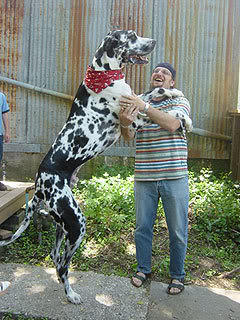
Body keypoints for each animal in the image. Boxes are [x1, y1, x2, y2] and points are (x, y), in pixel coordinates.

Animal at [0, 30, 188, 304]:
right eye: (132, 36)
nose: (153, 42)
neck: (105, 73)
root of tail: (38, 184)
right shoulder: (135, 119)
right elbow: (158, 110)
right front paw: (182, 117)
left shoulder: (134, 102)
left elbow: (152, 92)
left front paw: (173, 94)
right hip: (77, 224)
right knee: (63, 265)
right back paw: (71, 295)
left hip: (63, 225)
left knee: (55, 257)